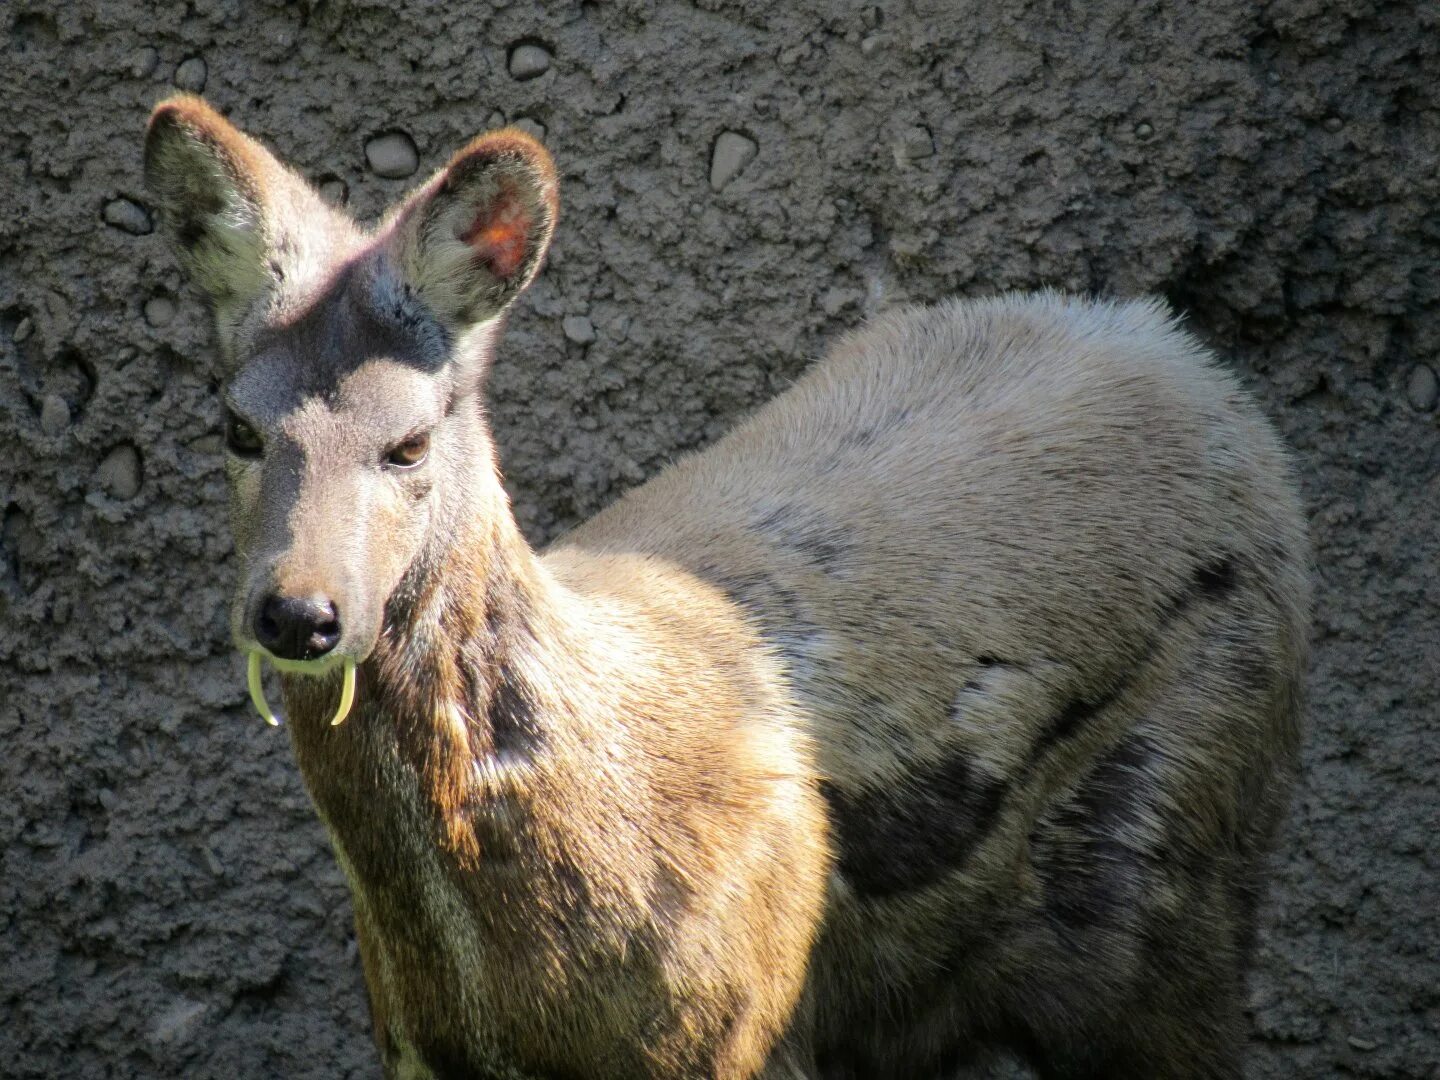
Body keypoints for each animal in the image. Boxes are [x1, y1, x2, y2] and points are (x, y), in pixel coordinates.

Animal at [143, 95, 1307, 1080]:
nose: (299, 612)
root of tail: (1187, 360)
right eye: (236, 428)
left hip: (1178, 879)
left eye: (410, 441)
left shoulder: (742, 1027)